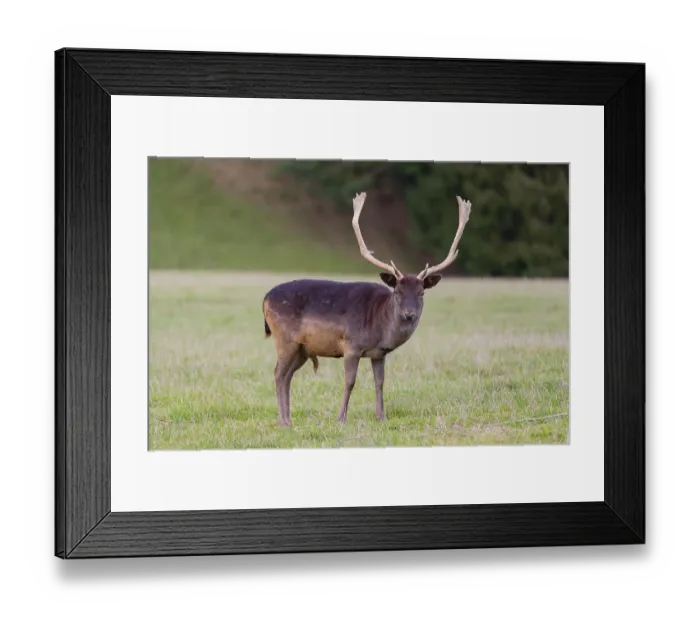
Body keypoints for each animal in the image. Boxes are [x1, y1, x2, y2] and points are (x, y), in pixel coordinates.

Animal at [262, 191, 472, 427]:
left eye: (421, 293)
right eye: (398, 291)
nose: (409, 314)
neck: (380, 326)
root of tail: (265, 299)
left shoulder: (379, 353)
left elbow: (379, 382)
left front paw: (382, 416)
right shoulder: (351, 345)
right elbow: (350, 381)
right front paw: (341, 418)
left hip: (302, 349)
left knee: (287, 375)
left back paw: (288, 419)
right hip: (285, 339)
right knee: (278, 373)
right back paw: (283, 420)